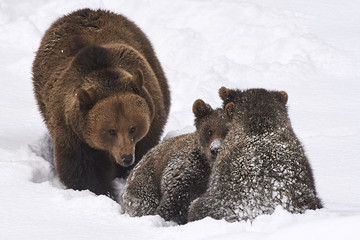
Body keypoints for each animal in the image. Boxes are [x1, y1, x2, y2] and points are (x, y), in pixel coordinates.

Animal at [32, 8, 170, 199]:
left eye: (133, 128)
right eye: (111, 130)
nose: (127, 157)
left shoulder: (150, 125)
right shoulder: (73, 134)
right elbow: (83, 172)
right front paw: (102, 192)